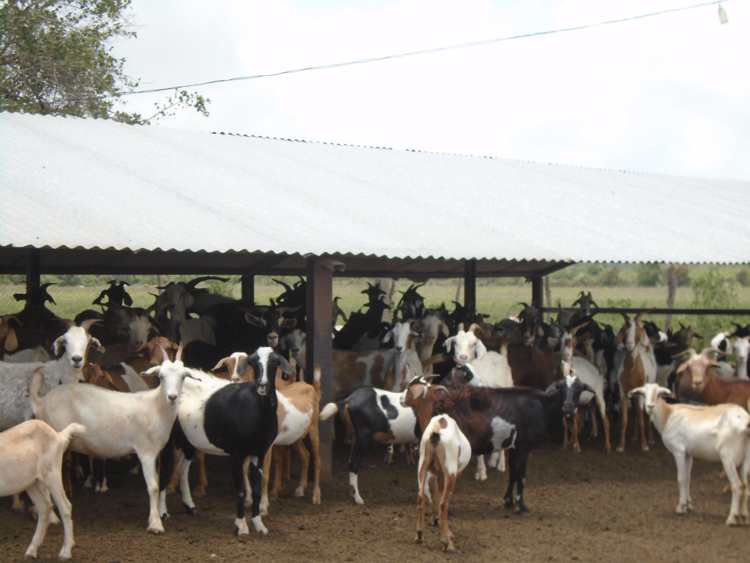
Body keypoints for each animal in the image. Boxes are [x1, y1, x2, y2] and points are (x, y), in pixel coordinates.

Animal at [0, 420, 86, 560]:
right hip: (32, 483)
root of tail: (58, 436)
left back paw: (65, 552)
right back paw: (32, 550)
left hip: (52, 475)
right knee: (44, 507)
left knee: (65, 507)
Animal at [31, 346, 194, 536]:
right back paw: (51, 517)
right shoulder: (145, 450)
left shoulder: (155, 452)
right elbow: (153, 487)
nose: (172, 397)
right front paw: (155, 524)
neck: (155, 407)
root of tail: (41, 402)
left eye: (183, 376)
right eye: (160, 376)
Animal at [414, 412, 472, 552]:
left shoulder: (435, 474)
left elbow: (435, 494)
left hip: (422, 466)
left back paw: (419, 535)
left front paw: (435, 520)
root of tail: (437, 428)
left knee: (421, 497)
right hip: (450, 473)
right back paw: (446, 542)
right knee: (443, 503)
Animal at [628, 382, 750, 528]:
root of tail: (745, 421)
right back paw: (745, 517)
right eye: (643, 394)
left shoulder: (679, 450)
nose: (650, 406)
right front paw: (688, 505)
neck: (667, 416)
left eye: (659, 394)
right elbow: (687, 478)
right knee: (746, 485)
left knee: (737, 486)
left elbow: (681, 478)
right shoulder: (688, 454)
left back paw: (732, 518)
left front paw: (680, 507)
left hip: (727, 456)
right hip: (746, 457)